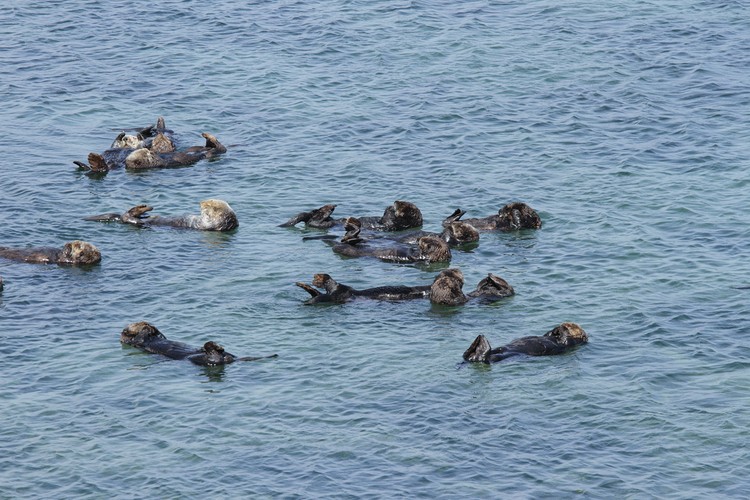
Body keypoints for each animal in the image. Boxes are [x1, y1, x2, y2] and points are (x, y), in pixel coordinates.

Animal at [120, 321, 277, 366]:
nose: (144, 323)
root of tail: (231, 359)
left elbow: (161, 335)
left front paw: (153, 327)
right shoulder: (138, 343)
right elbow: (138, 338)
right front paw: (145, 328)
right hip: (203, 360)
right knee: (214, 356)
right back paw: (214, 345)